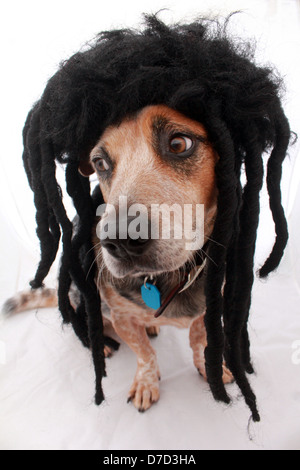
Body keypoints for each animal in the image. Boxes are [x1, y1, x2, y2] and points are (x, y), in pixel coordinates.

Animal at [4, 103, 232, 412]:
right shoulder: (122, 318)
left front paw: (209, 367)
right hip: (77, 292)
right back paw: (98, 341)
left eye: (178, 144)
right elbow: (145, 354)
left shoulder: (210, 307)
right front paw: (147, 382)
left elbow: (198, 339)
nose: (120, 240)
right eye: (100, 163)